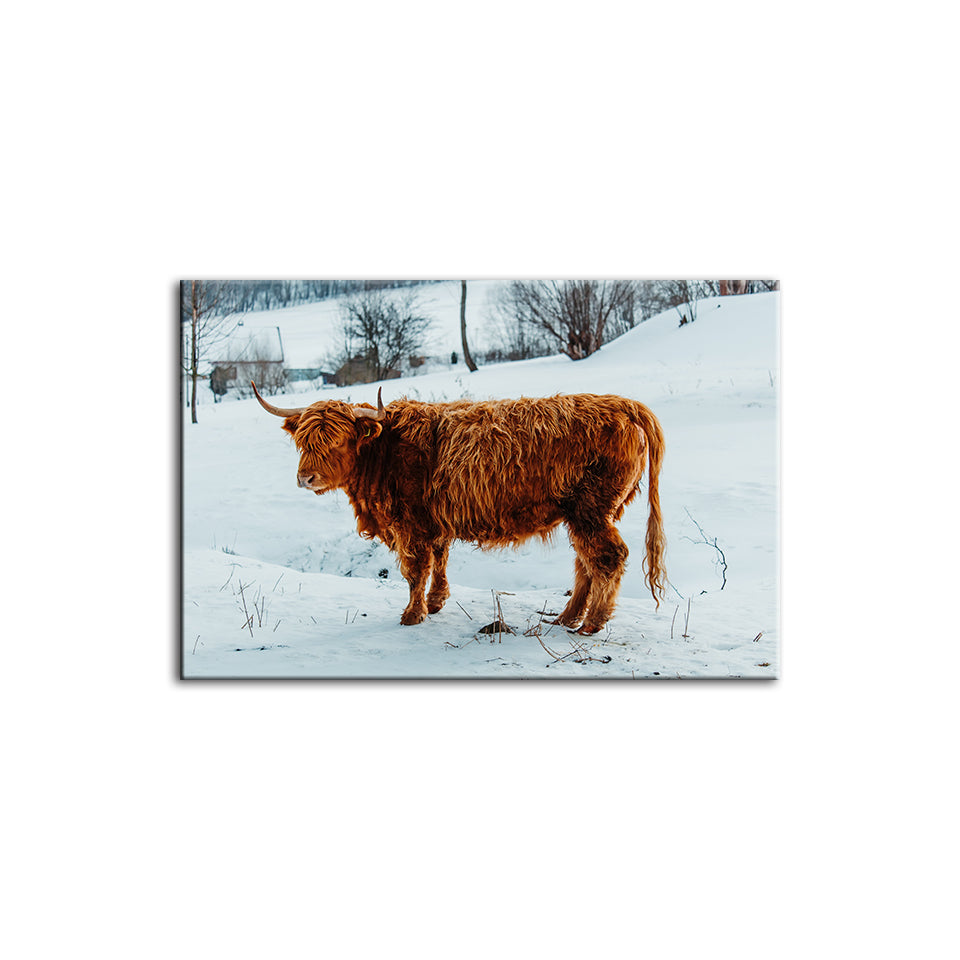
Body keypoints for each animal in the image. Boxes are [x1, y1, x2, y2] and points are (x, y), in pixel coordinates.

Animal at [251, 382, 666, 635]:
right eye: (303, 442)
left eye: (337, 441)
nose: (306, 477)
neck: (384, 452)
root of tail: (620, 404)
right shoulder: (434, 521)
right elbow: (440, 558)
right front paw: (435, 603)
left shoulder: (410, 523)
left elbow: (415, 570)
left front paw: (412, 615)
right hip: (585, 512)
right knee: (586, 563)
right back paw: (566, 618)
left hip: (591, 509)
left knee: (608, 558)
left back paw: (591, 624)